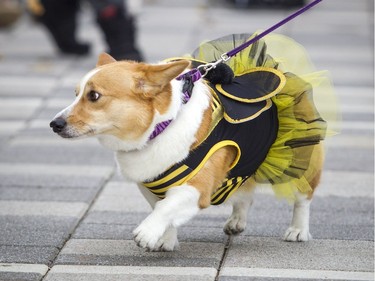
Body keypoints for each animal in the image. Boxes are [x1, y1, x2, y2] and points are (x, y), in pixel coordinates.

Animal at [50, 51, 326, 250]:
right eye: (76, 94)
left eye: (94, 96)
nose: (54, 124)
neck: (161, 127)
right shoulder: (151, 187)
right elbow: (163, 208)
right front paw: (166, 240)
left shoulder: (196, 188)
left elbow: (166, 208)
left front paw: (147, 232)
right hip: (246, 162)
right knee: (245, 194)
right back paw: (237, 221)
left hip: (298, 164)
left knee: (303, 197)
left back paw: (298, 230)